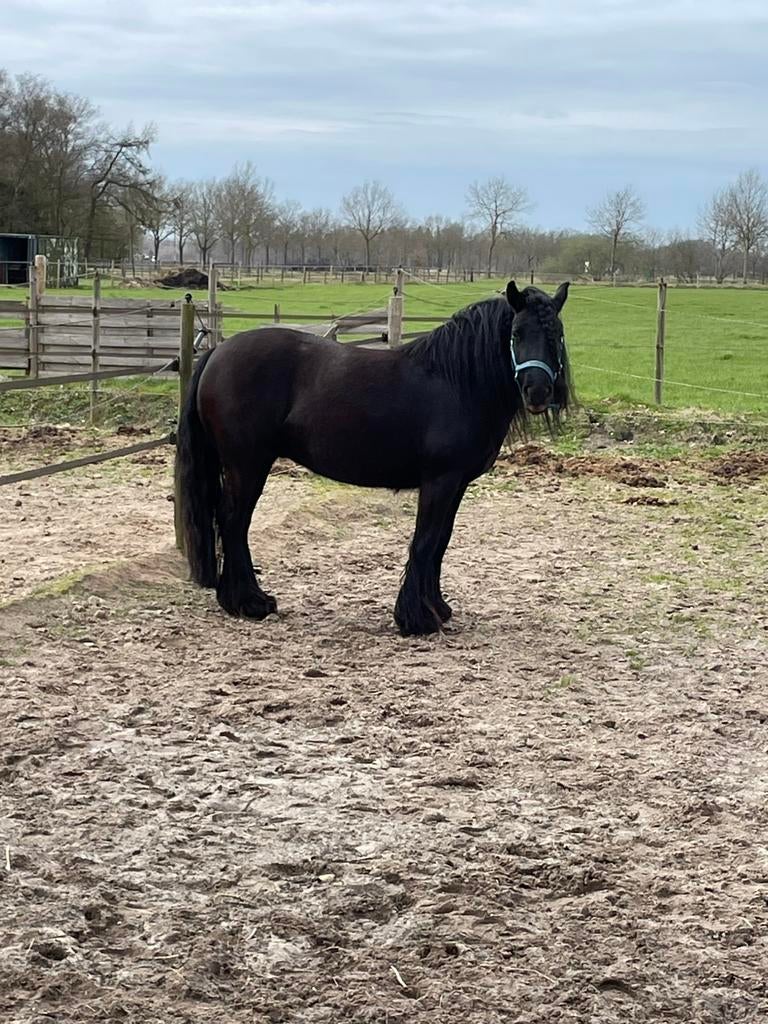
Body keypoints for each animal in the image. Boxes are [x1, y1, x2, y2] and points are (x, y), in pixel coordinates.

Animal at [176, 280, 572, 636]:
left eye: (556, 333)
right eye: (517, 333)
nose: (538, 391)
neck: (458, 382)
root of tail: (218, 353)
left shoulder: (457, 484)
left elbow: (441, 541)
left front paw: (437, 607)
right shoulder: (439, 481)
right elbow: (425, 540)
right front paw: (417, 619)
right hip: (247, 465)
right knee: (233, 521)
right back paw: (249, 602)